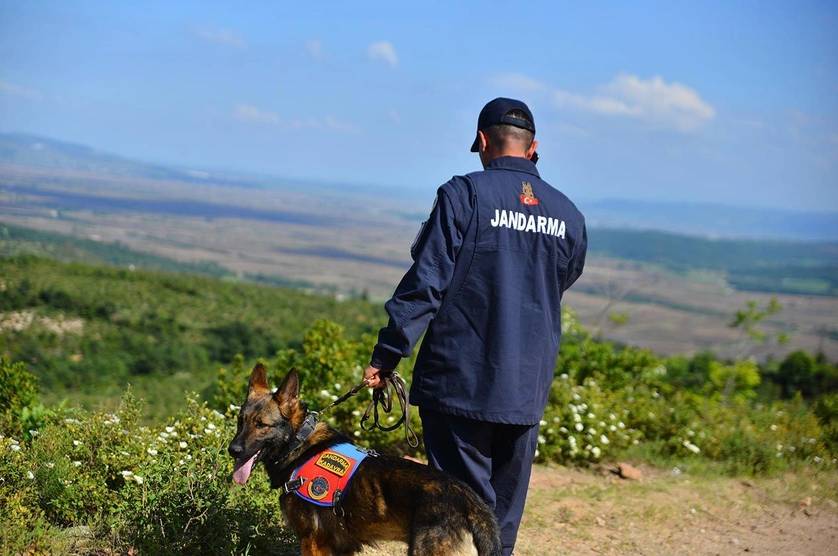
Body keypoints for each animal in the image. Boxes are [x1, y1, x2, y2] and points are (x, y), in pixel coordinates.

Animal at [230, 364, 502, 556]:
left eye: (261, 425)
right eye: (240, 421)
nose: (233, 450)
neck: (299, 441)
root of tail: (474, 505)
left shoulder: (313, 543)